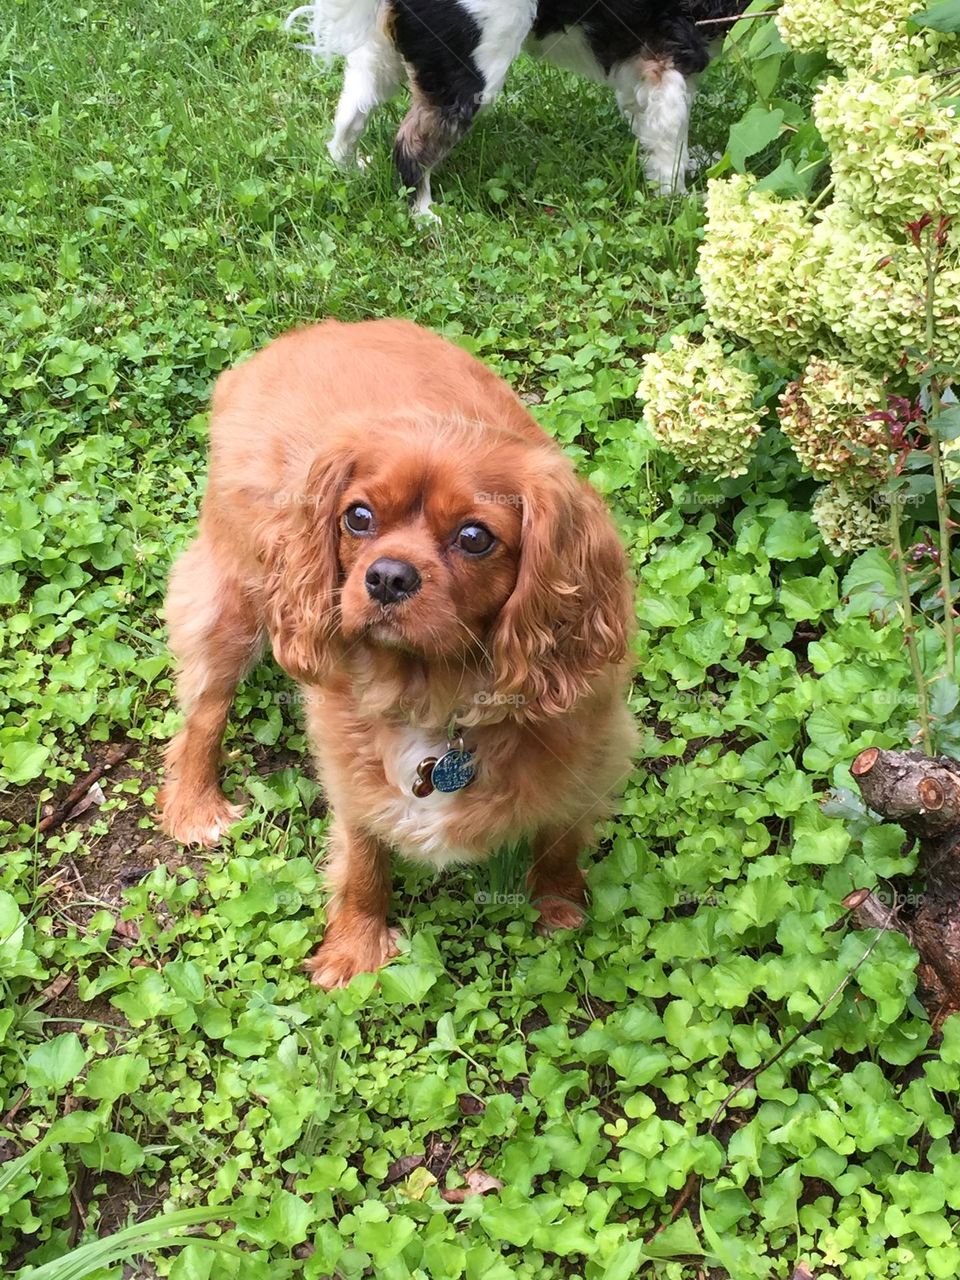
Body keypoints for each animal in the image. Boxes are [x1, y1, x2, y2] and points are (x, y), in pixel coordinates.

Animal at [285, 0, 752, 217]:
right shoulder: (668, 63)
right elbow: (671, 142)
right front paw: (682, 204)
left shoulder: (642, 66)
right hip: (468, 77)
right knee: (410, 145)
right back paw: (425, 214)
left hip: (385, 58)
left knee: (350, 115)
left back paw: (350, 168)